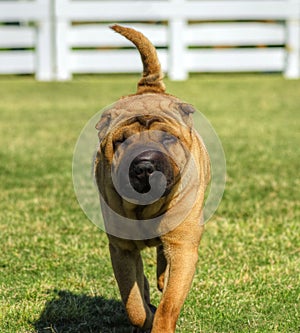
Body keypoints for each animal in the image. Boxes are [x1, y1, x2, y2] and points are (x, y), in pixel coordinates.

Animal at [94, 24, 211, 330]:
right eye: (122, 141)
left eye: (167, 138)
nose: (145, 165)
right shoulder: (121, 250)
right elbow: (133, 302)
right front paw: (144, 316)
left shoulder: (183, 246)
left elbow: (169, 304)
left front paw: (159, 321)